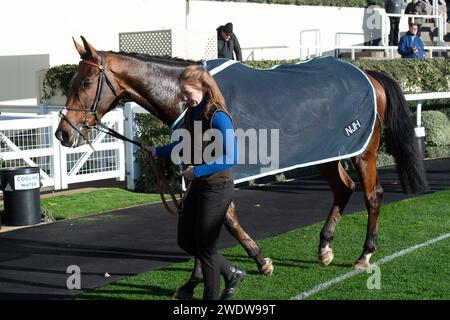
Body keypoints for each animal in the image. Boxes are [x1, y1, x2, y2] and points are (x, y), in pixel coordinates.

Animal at [56, 37, 428, 298]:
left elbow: (222, 221)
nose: (63, 133)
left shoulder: (219, 169)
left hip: (363, 152)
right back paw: (324, 247)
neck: (193, 100)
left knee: (372, 195)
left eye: (86, 83)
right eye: (70, 82)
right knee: (343, 189)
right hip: (329, 153)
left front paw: (253, 263)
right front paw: (205, 277)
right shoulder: (197, 174)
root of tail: (369, 74)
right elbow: (206, 224)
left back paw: (365, 254)